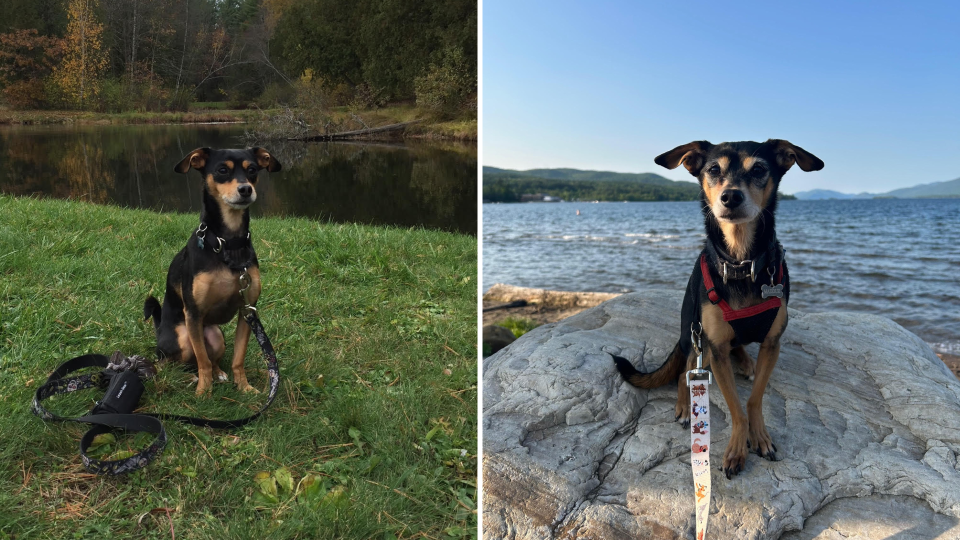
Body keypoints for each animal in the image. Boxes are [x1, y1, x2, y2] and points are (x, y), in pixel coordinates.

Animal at [142, 148, 282, 396]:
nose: (246, 189)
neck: (228, 243)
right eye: (222, 170)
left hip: (216, 336)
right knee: (172, 362)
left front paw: (244, 387)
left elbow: (238, 358)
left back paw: (219, 374)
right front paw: (203, 392)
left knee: (211, 357)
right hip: (183, 337)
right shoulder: (194, 314)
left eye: (252, 170)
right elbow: (202, 361)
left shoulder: (247, 312)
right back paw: (188, 377)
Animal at [616, 138, 824, 476]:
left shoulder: (772, 343)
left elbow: (753, 400)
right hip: (694, 336)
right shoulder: (715, 349)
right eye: (714, 170)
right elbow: (736, 407)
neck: (741, 263)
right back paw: (684, 406)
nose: (730, 196)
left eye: (759, 169)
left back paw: (746, 362)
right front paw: (737, 449)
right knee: (684, 372)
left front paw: (760, 436)